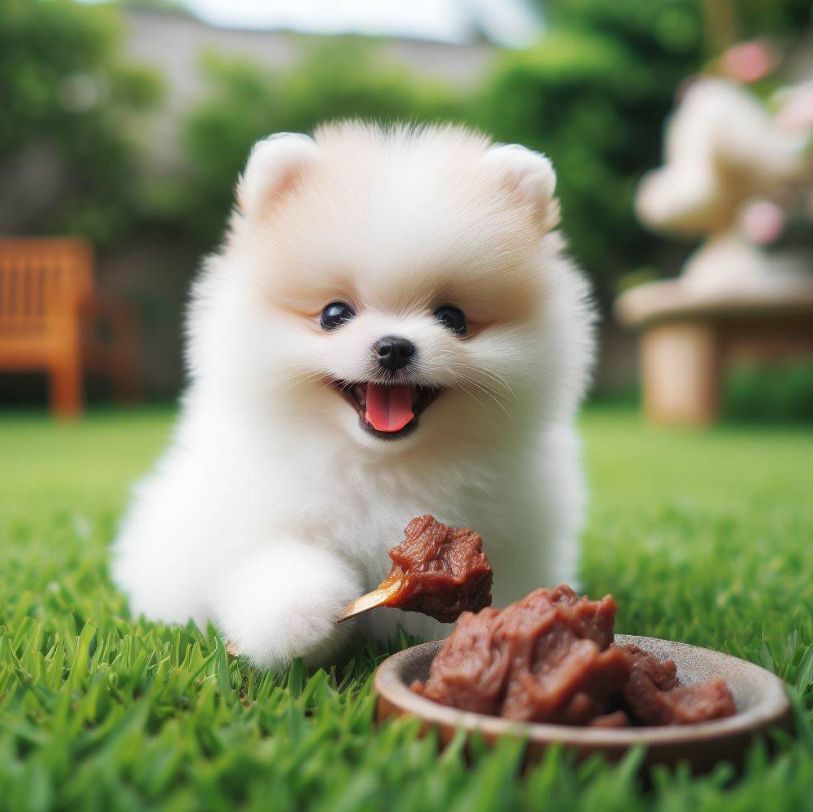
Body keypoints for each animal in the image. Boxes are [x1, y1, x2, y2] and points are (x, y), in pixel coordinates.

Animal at [111, 119, 592, 668]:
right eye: (334, 314)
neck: (384, 466)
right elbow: (279, 566)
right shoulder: (259, 519)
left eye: (453, 318)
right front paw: (299, 619)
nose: (394, 347)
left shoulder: (514, 541)